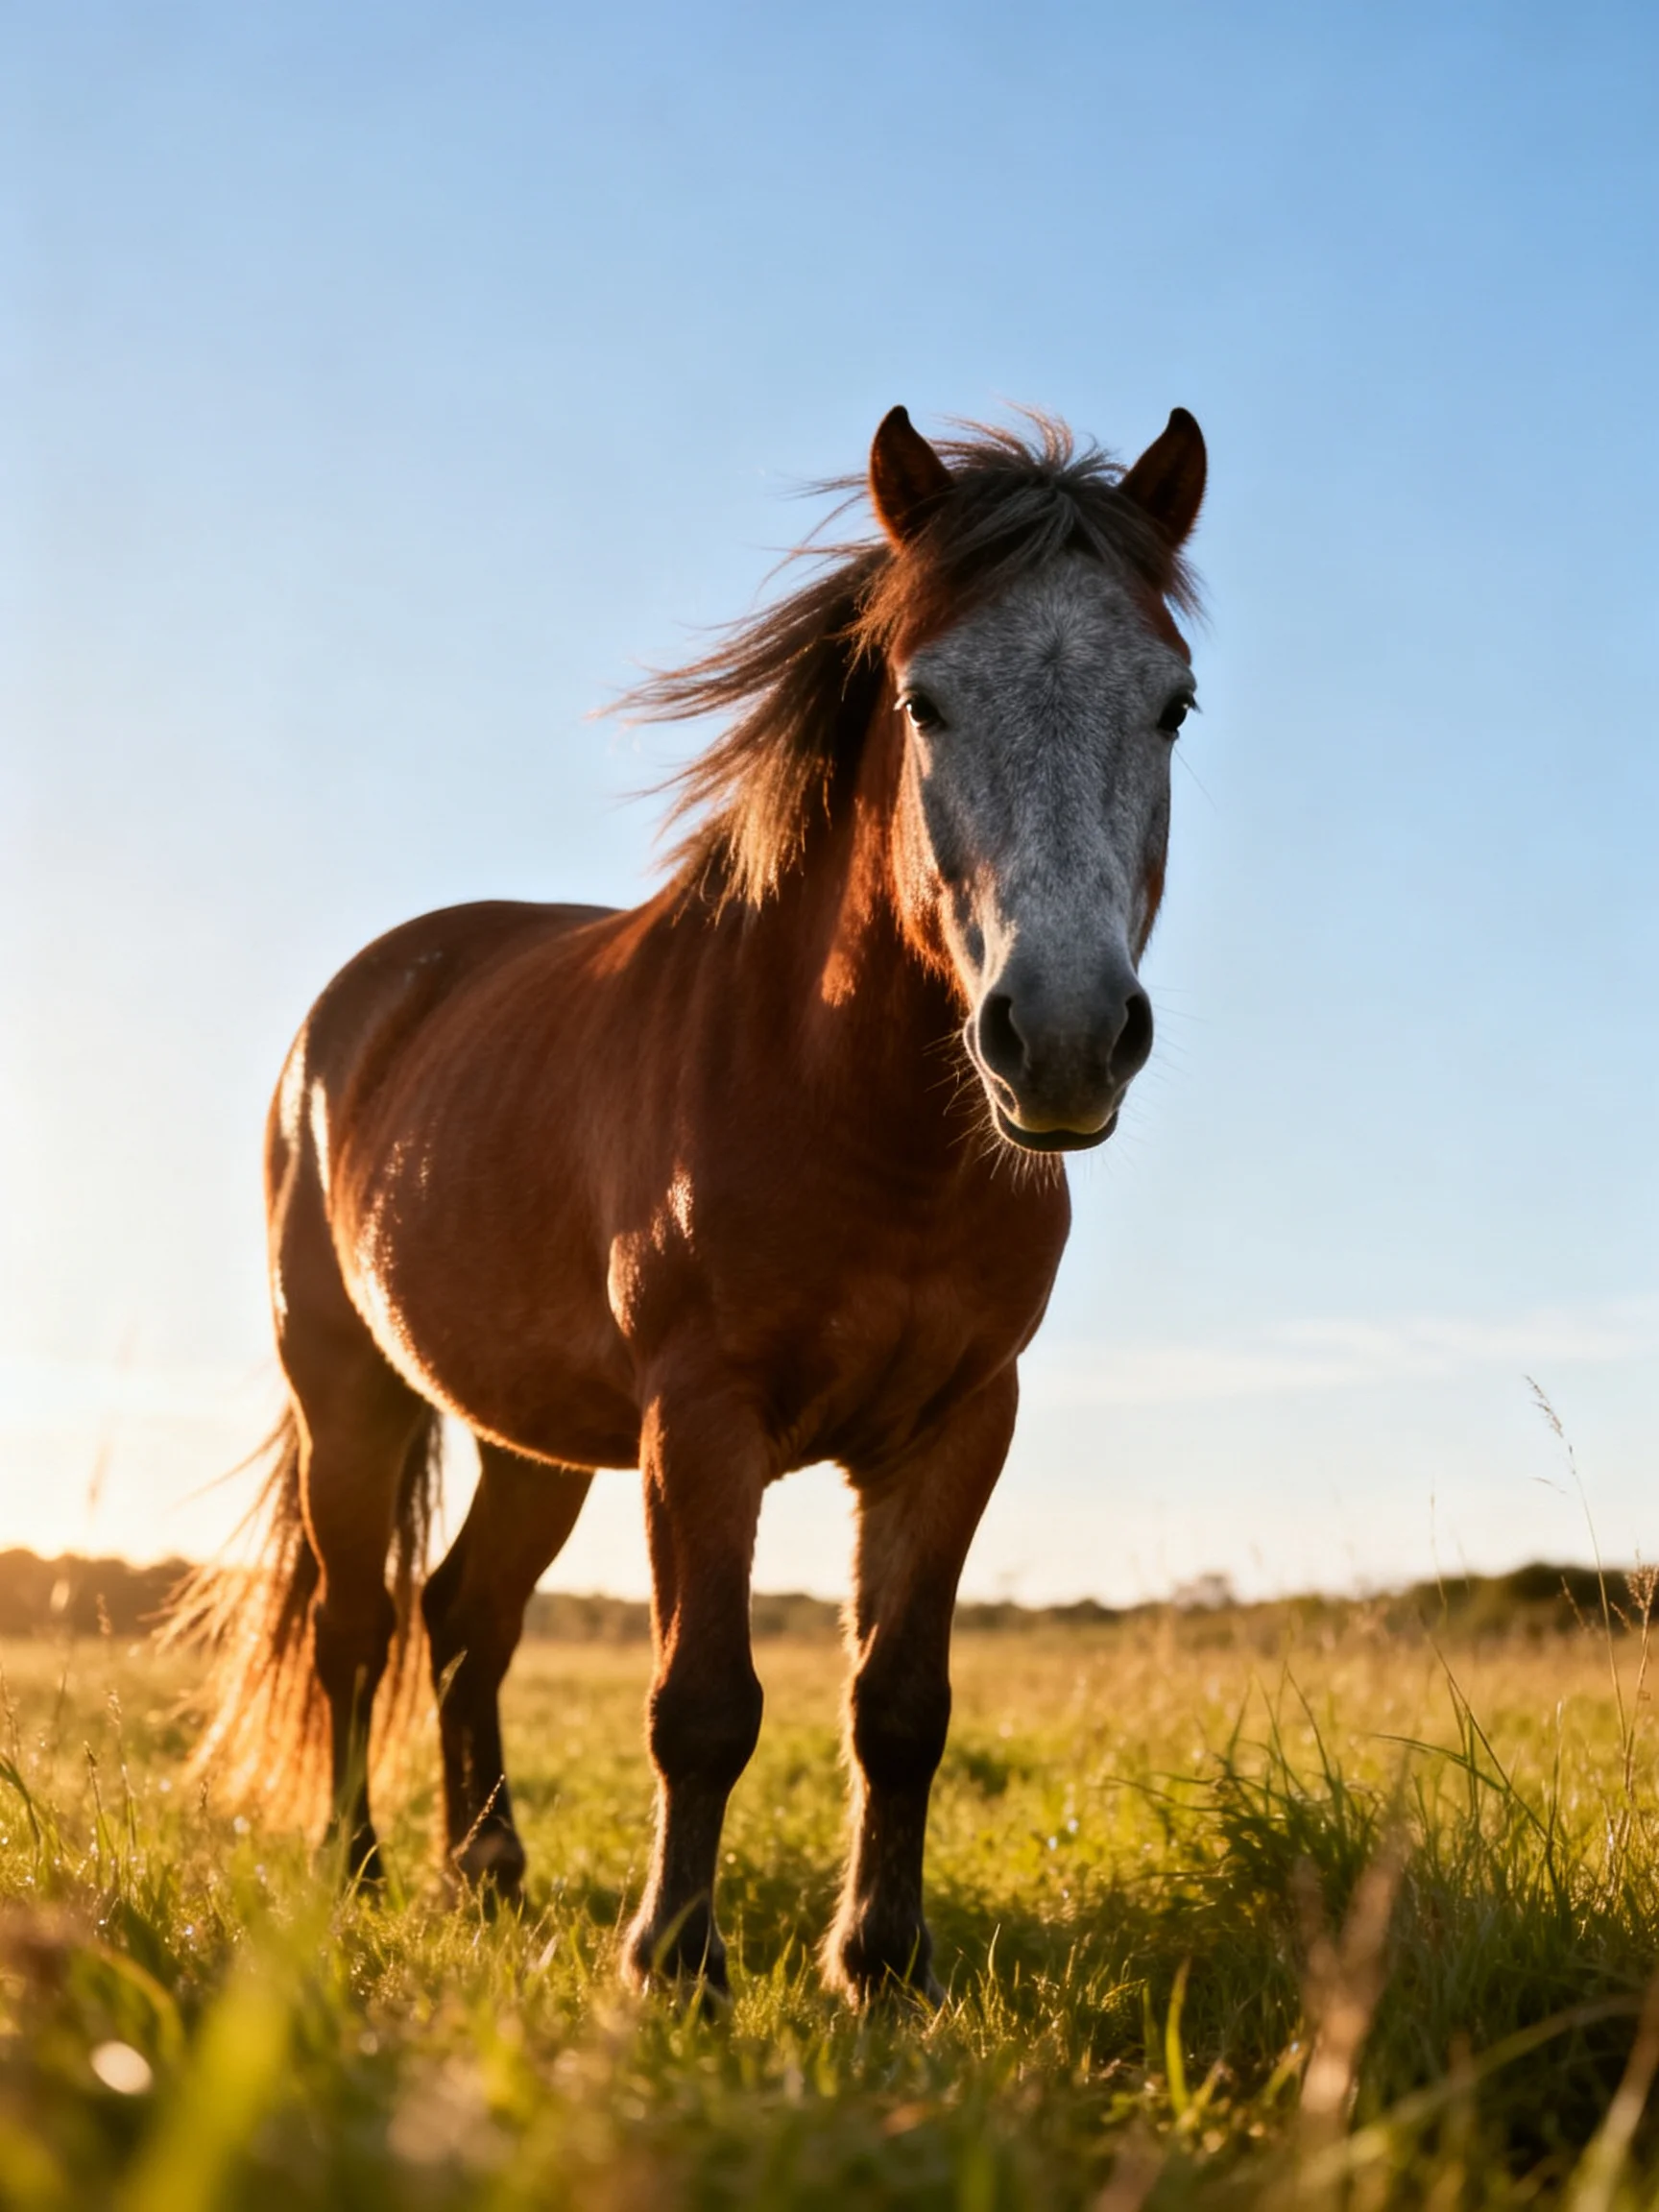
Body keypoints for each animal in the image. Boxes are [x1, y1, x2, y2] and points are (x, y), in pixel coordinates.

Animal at [178, 402, 1206, 2003]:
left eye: (1172, 706)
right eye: (925, 703)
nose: (1066, 1035)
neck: (866, 1126)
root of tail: (359, 1004)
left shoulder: (958, 1423)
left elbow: (900, 1703)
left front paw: (882, 1964)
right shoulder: (703, 1419)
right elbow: (703, 1702)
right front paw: (672, 1962)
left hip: (528, 1435)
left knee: (465, 1616)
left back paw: (485, 1868)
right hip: (350, 1391)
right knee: (357, 1628)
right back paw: (354, 1868)